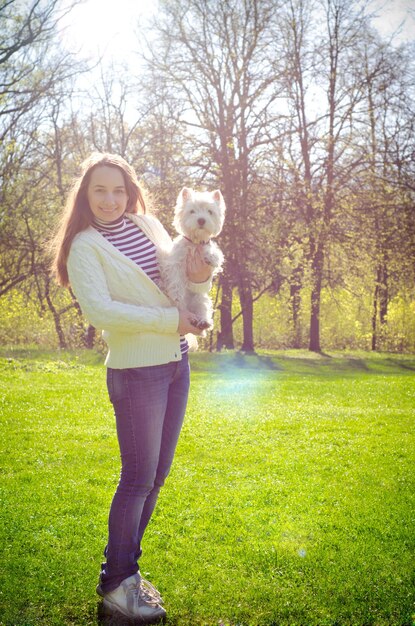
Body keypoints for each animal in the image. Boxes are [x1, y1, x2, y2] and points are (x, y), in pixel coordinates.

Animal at [159, 185, 226, 332]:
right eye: (192, 211)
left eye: (210, 211)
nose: (201, 220)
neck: (195, 242)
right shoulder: (175, 262)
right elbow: (176, 280)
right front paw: (177, 295)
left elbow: (214, 252)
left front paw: (212, 256)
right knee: (183, 307)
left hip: (201, 299)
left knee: (203, 309)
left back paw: (203, 322)